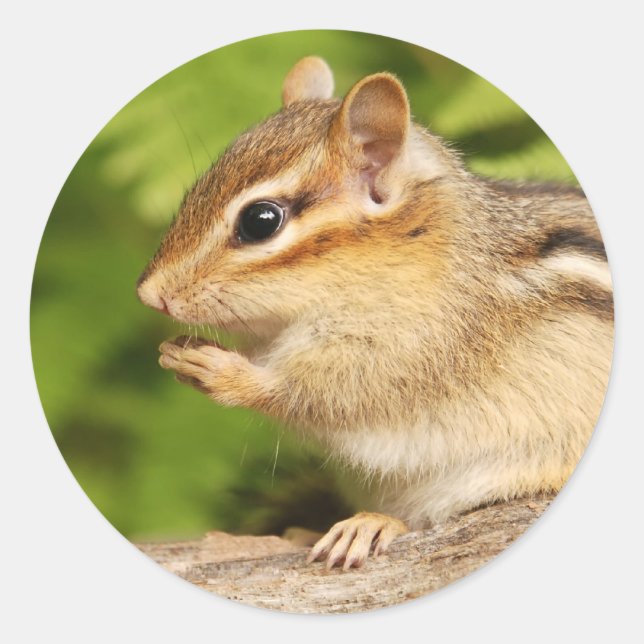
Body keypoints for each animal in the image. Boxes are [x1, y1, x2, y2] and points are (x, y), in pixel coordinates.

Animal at [137, 56, 614, 570]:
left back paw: (370, 525)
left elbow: (328, 395)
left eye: (260, 221)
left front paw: (219, 370)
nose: (150, 295)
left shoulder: (418, 347)